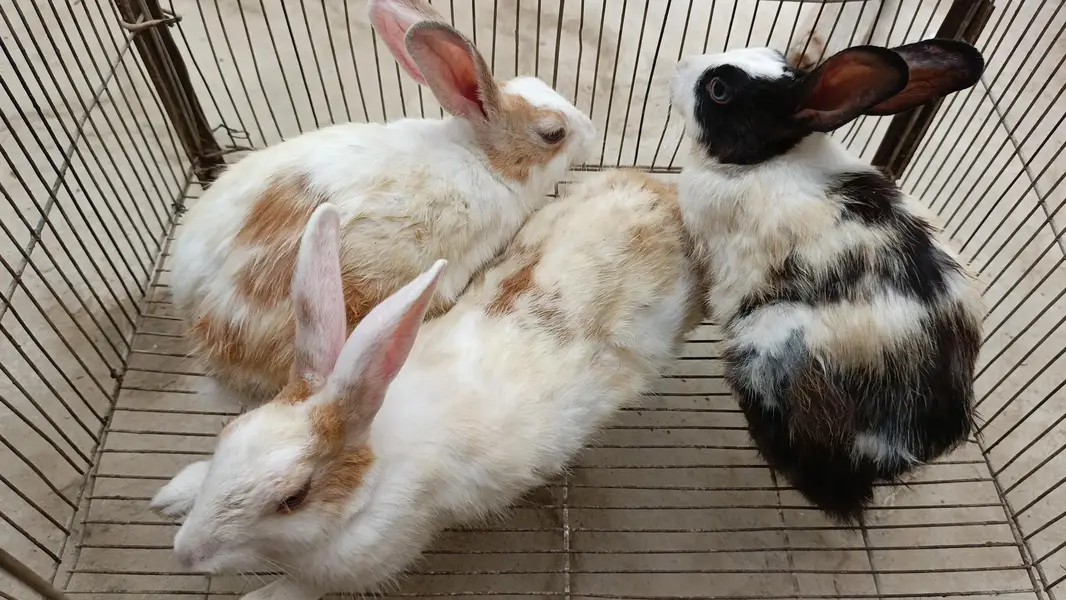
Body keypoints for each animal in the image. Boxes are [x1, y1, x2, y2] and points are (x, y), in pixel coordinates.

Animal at [150, 170, 703, 600]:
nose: (183, 554)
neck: (371, 469)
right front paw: (171, 495)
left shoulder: (376, 554)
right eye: (227, 436)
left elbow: (293, 589)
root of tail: (662, 195)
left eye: (292, 499)